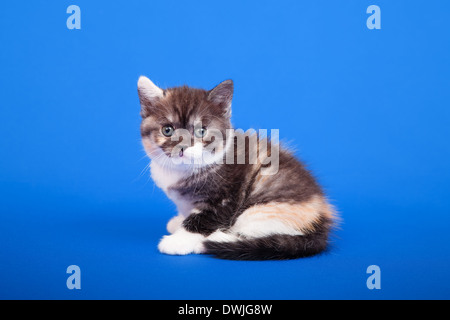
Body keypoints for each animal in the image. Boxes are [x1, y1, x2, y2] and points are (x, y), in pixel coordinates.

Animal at [138, 77, 338, 260]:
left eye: (201, 131)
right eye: (167, 130)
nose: (182, 147)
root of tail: (322, 217)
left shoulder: (226, 197)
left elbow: (204, 218)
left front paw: (179, 240)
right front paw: (179, 221)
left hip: (266, 208)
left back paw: (216, 239)